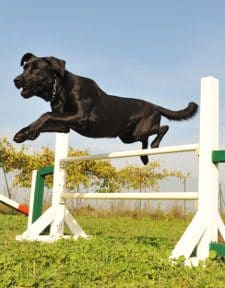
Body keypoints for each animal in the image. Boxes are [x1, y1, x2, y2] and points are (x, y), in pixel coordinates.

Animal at [13, 52, 198, 164]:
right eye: (24, 67)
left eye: (37, 69)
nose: (16, 80)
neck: (60, 88)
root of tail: (154, 105)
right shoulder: (65, 126)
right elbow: (47, 119)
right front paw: (24, 133)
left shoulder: (79, 117)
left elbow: (46, 115)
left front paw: (30, 131)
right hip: (128, 136)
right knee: (146, 137)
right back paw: (144, 157)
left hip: (139, 130)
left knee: (164, 127)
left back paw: (155, 146)